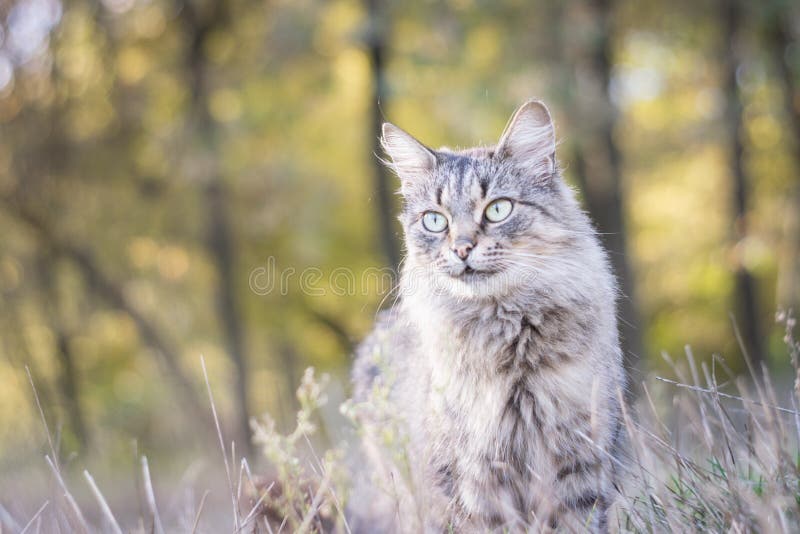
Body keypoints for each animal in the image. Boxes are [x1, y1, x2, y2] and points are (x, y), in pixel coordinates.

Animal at [348, 101, 624, 534]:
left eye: (497, 209)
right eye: (435, 220)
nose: (462, 248)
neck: (508, 330)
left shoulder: (581, 463)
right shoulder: (473, 477)